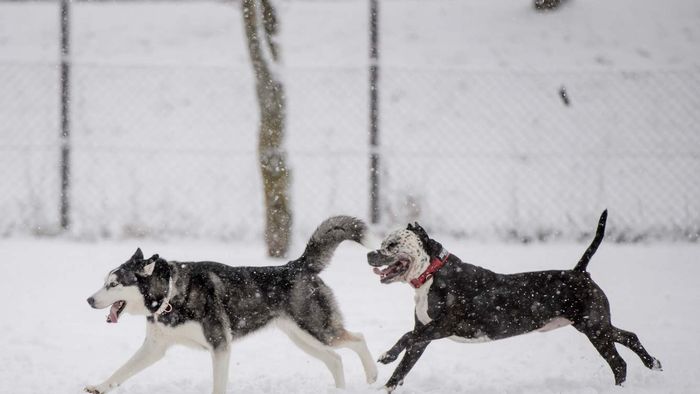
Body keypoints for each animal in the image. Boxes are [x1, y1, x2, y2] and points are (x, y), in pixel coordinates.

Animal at [86, 215, 378, 394]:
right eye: (105, 282)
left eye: (114, 284)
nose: (89, 300)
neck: (169, 295)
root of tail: (296, 265)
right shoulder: (154, 348)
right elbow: (121, 371)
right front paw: (99, 387)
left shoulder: (220, 346)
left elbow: (218, 385)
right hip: (302, 338)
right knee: (335, 359)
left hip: (319, 329)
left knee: (358, 339)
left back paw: (373, 377)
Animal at [366, 209, 660, 390]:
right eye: (382, 243)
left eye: (392, 245)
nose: (370, 254)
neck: (433, 273)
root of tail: (579, 272)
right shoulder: (424, 335)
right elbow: (402, 369)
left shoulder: (445, 325)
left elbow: (405, 337)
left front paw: (386, 355)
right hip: (596, 324)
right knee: (629, 336)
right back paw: (653, 363)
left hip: (593, 327)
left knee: (618, 362)